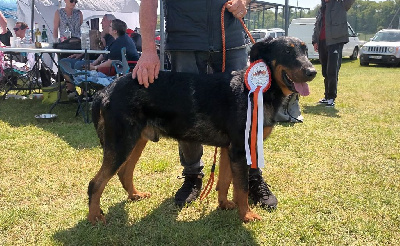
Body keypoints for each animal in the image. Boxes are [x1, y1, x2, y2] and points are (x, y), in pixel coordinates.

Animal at [87, 37, 316, 225]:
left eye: (306, 50)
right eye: (287, 52)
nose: (312, 72)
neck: (259, 90)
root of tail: (105, 91)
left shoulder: (229, 149)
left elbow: (225, 181)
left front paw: (224, 205)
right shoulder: (240, 150)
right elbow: (240, 187)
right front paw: (246, 215)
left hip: (135, 142)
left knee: (124, 172)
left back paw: (134, 195)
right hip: (121, 143)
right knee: (95, 183)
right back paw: (94, 217)